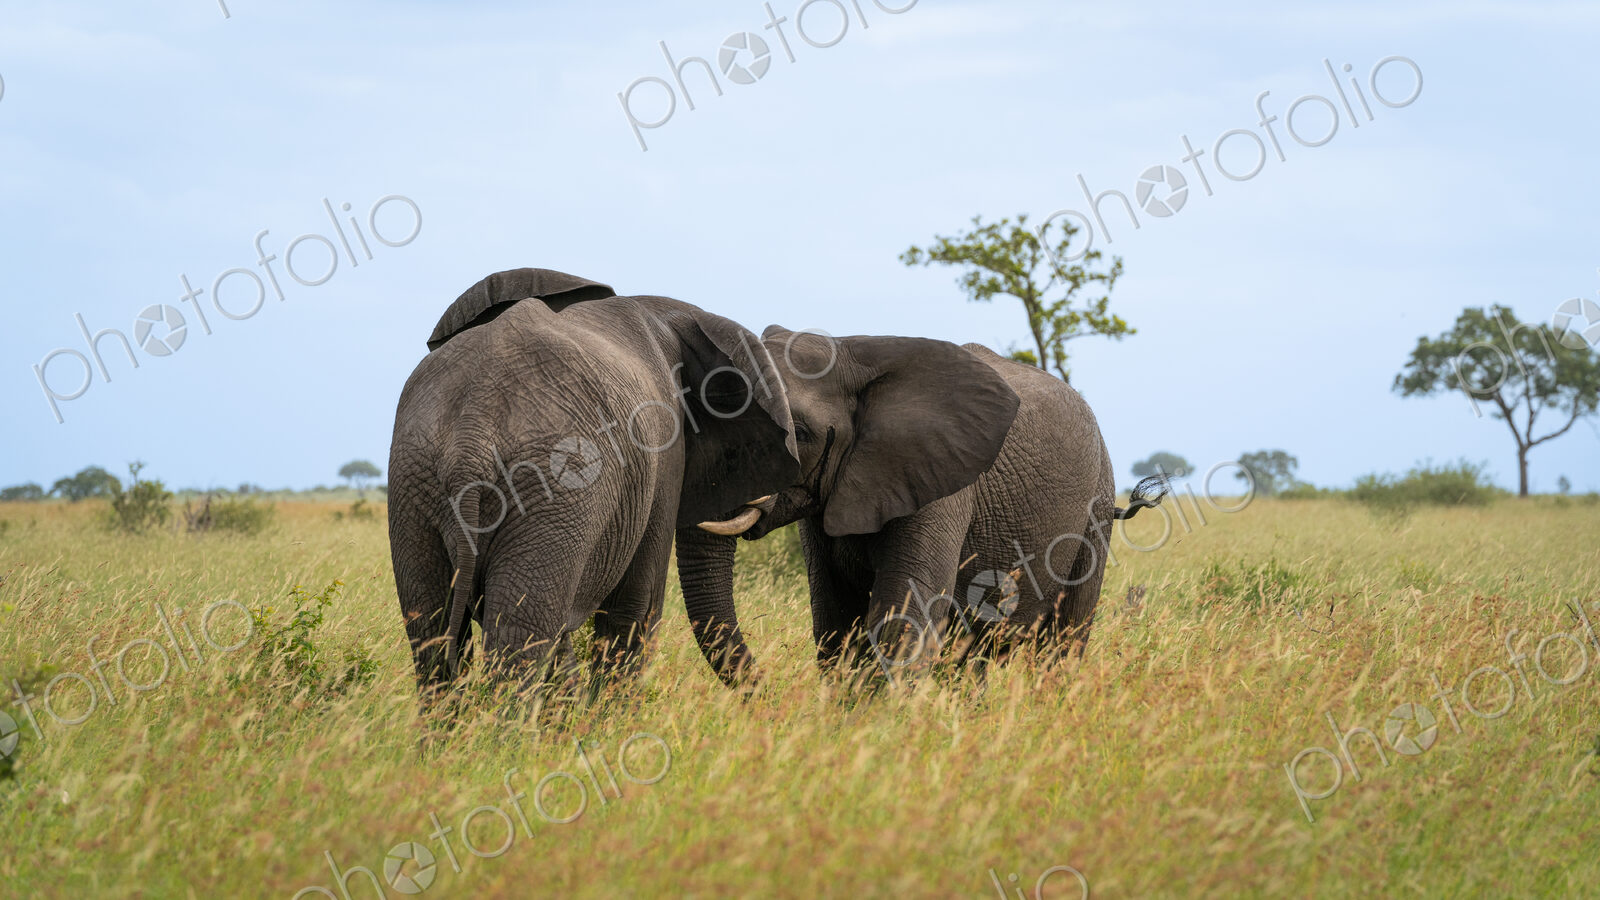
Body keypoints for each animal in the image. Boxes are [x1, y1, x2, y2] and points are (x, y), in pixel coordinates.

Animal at [387, 268, 799, 700]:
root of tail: (473, 430)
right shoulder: (664, 450)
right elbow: (636, 606)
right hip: (554, 487)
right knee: (520, 635)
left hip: (414, 480)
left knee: (430, 631)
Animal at [686, 328, 1167, 680]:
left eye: (799, 434)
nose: (766, 692)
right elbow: (836, 620)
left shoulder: (941, 481)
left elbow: (902, 616)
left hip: (1097, 505)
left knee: (1065, 637)